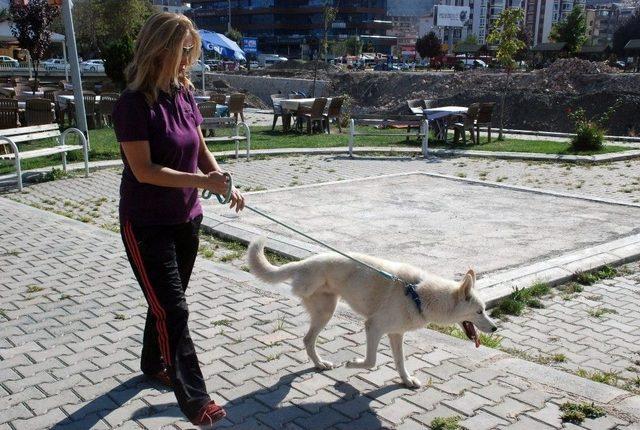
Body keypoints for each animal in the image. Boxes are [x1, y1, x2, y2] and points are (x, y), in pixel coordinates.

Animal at [248, 237, 498, 388]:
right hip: (326, 313)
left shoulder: (396, 334)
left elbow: (400, 362)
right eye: (479, 311)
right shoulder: (373, 327)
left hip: (326, 312)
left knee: (308, 340)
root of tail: (302, 264)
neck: (418, 293)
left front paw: (407, 380)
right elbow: (371, 361)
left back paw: (320, 364)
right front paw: (352, 364)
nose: (495, 328)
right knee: (308, 340)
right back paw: (321, 363)